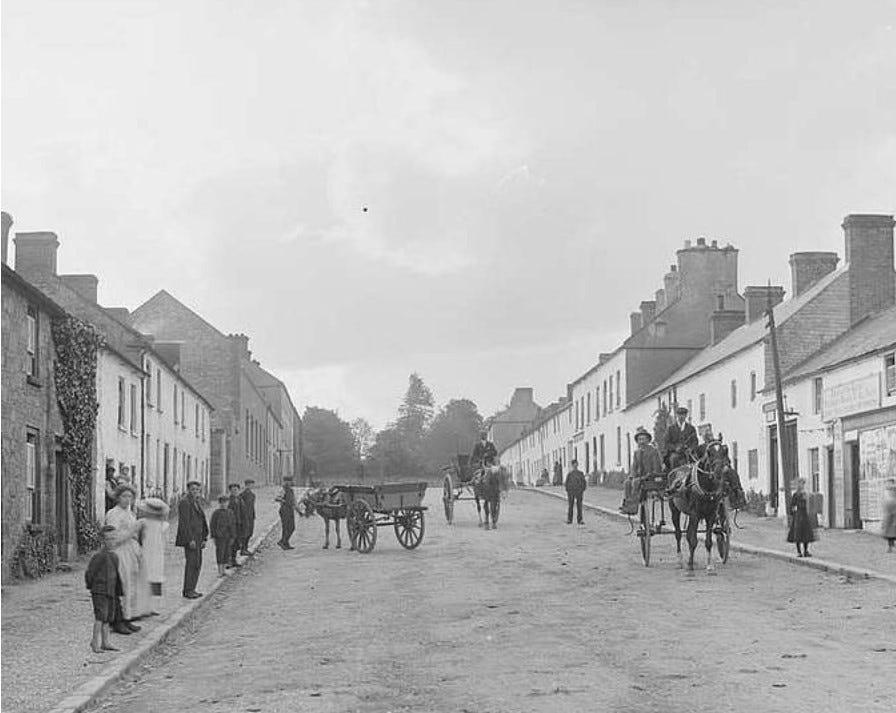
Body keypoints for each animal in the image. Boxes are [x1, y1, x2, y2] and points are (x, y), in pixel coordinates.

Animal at [668, 440, 744, 572]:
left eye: (725, 456)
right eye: (709, 454)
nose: (719, 473)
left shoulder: (711, 515)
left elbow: (708, 540)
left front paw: (709, 565)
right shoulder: (695, 514)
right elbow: (693, 540)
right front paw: (690, 565)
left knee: (688, 533)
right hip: (674, 510)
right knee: (678, 534)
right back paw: (680, 561)